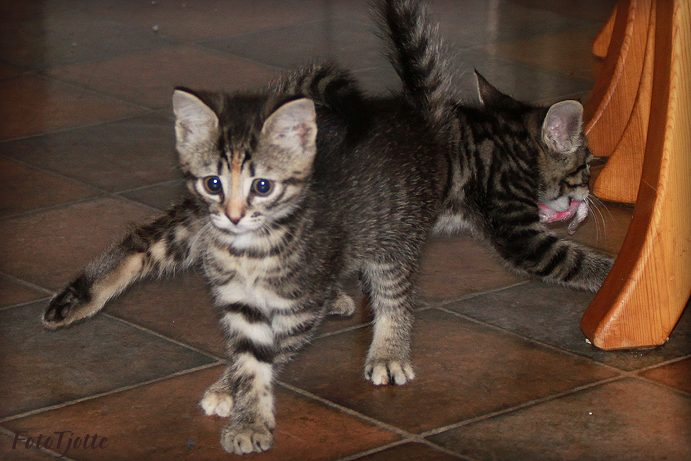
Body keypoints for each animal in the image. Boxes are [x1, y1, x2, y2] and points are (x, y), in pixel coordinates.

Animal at [42, 63, 448, 454]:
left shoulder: (298, 308)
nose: (234, 215)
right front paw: (244, 411)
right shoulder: (240, 299)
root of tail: (404, 111)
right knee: (142, 243)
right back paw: (73, 302)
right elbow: (251, 360)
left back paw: (388, 352)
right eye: (213, 183)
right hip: (193, 224)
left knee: (394, 293)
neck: (251, 249)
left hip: (396, 234)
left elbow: (266, 355)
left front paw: (239, 407)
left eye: (262, 186)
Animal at [377, 0, 613, 292]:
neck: (518, 150)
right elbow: (575, 260)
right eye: (587, 165)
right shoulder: (518, 229)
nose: (590, 191)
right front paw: (616, 271)